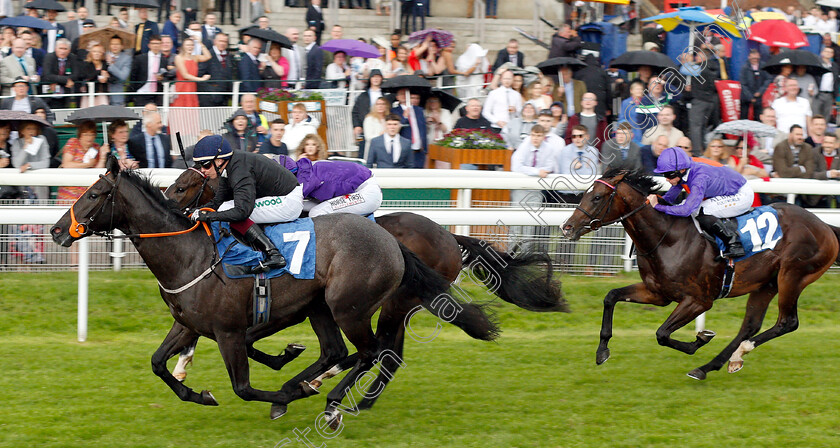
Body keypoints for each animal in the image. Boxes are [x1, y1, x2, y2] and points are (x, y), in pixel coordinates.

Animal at [50, 158, 498, 424]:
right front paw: (198, 391)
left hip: (354, 307)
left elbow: (244, 387)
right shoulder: (189, 323)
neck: (189, 254)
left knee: (373, 353)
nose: (56, 231)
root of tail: (394, 241)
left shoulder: (230, 331)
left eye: (94, 194)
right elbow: (158, 363)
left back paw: (332, 400)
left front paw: (286, 389)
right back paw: (330, 390)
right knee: (342, 351)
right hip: (325, 307)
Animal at [162, 165, 572, 410]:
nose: (169, 205)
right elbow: (211, 334)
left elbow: (245, 340)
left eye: (182, 187)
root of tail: (449, 236)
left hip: (395, 302)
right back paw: (355, 395)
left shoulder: (284, 305)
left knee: (383, 353)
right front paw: (182, 364)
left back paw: (345, 393)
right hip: (397, 304)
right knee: (386, 354)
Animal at [560, 168, 840, 378]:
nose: (567, 228)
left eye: (597, 197)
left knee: (787, 322)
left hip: (792, 276)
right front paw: (601, 352)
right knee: (750, 325)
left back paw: (736, 353)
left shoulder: (699, 300)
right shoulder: (656, 293)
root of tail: (824, 225)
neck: (667, 239)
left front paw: (701, 338)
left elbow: (662, 334)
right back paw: (715, 365)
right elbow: (611, 296)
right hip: (766, 283)